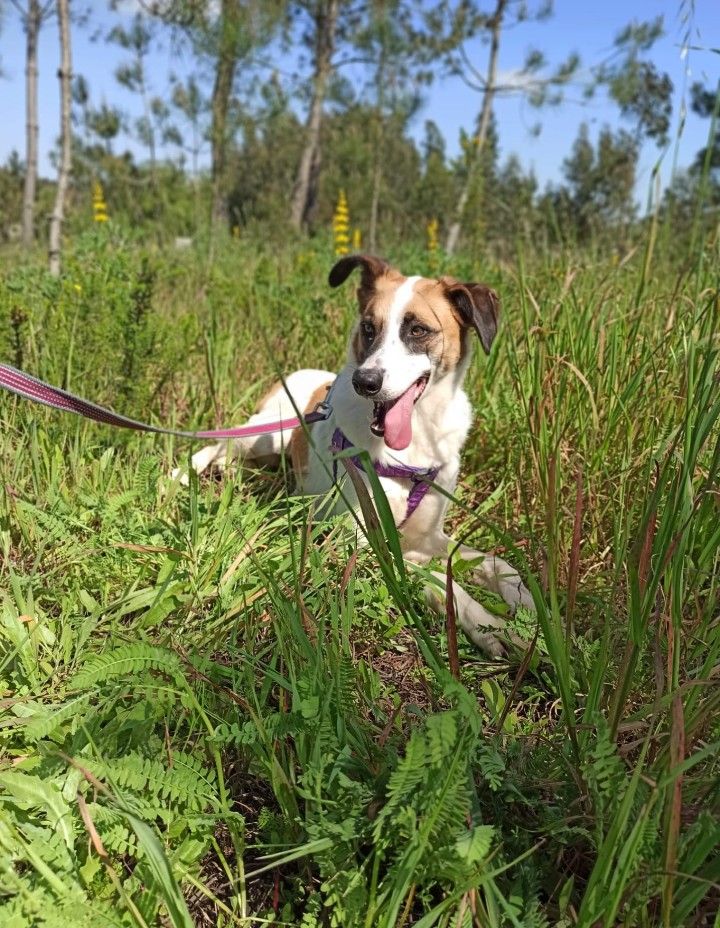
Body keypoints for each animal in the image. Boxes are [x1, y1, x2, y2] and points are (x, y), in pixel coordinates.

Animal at [173, 254, 536, 656]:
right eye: (368, 328)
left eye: (418, 330)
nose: (365, 382)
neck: (413, 442)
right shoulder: (361, 546)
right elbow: (441, 581)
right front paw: (490, 625)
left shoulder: (428, 537)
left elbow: (495, 562)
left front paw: (526, 601)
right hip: (268, 432)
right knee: (220, 441)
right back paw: (185, 473)